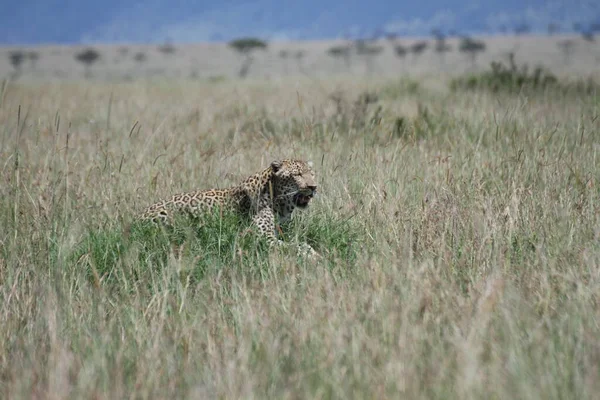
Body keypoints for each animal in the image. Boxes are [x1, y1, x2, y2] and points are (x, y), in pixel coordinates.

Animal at [139, 159, 322, 256]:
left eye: (312, 173)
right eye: (297, 175)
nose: (313, 187)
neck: (282, 205)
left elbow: (300, 243)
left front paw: (312, 252)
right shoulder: (262, 237)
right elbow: (293, 246)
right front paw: (313, 256)